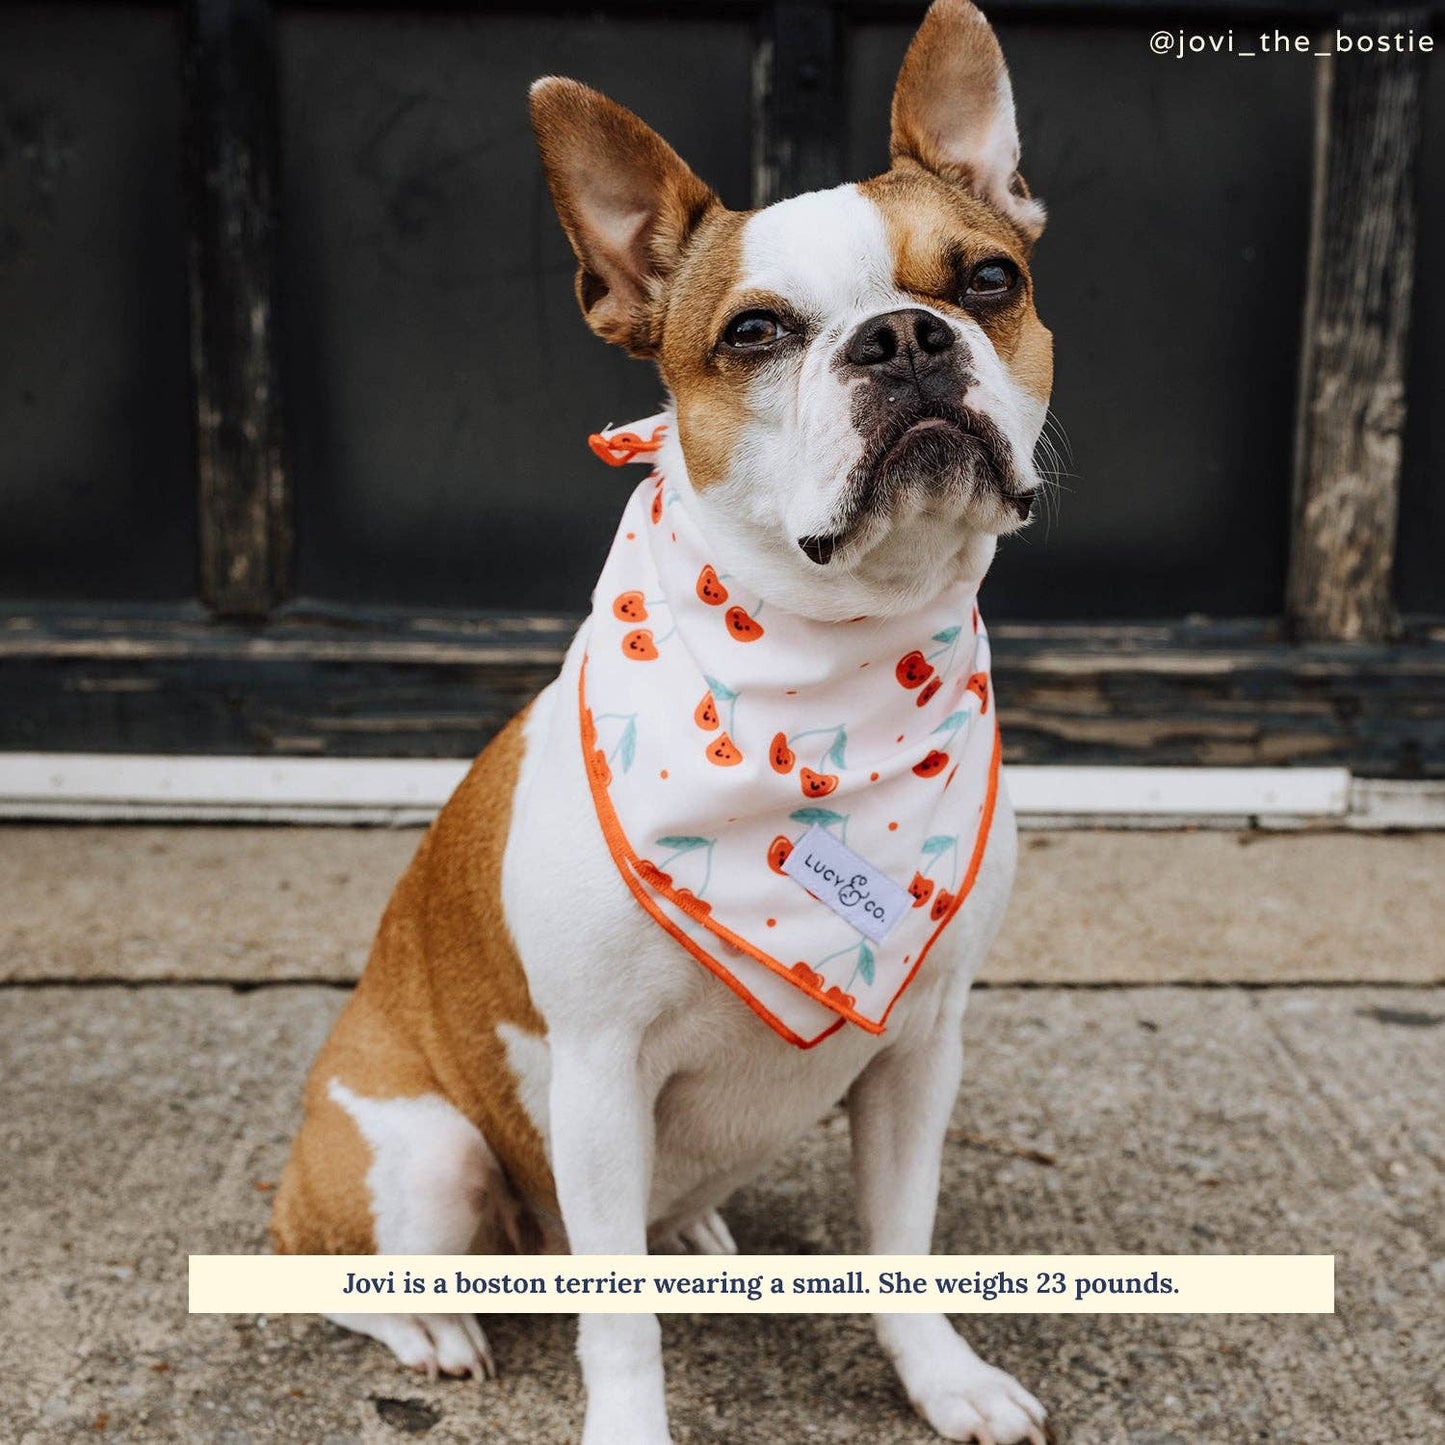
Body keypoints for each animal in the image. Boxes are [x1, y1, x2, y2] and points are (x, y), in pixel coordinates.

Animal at [275, 5, 1057, 1439]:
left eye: (987, 280)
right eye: (752, 333)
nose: (904, 337)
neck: (834, 656)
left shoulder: (920, 1045)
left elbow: (902, 1243)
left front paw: (941, 1377)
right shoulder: (594, 1075)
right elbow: (619, 1321)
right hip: (428, 1151)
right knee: (339, 1264)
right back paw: (430, 1325)